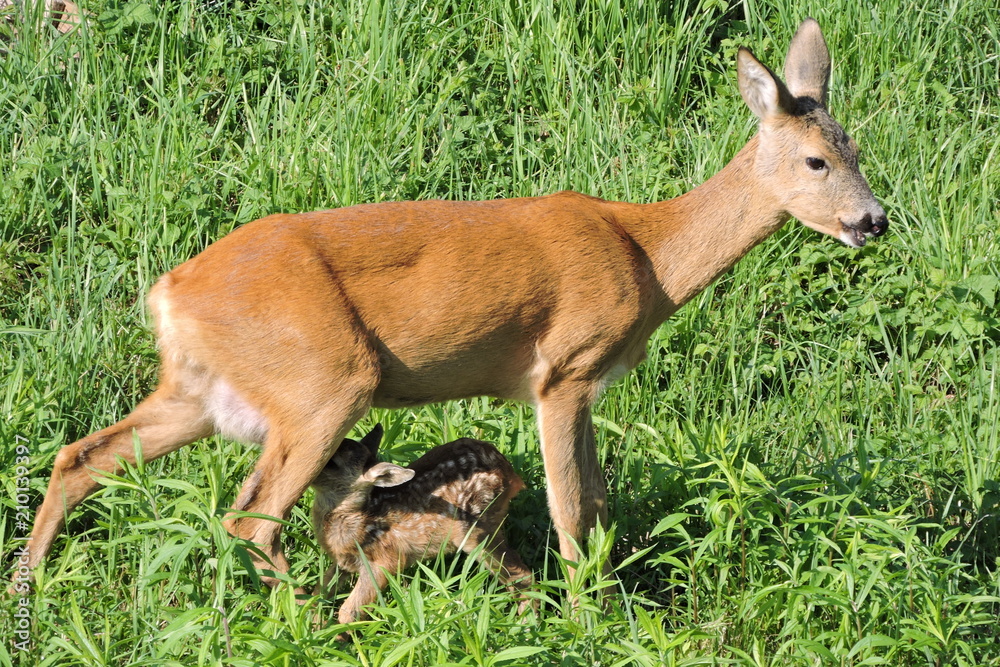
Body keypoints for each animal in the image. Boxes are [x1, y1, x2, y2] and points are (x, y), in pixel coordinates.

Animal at [21, 19, 886, 595]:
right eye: (816, 160)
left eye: (856, 149)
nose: (873, 220)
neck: (648, 255)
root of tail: (167, 292)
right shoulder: (564, 368)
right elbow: (573, 510)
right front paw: (589, 613)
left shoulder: (592, 381)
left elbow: (601, 500)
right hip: (323, 379)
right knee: (249, 514)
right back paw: (304, 612)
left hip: (203, 389)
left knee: (83, 455)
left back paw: (26, 580)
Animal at [310, 424, 533, 630]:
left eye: (331, 462)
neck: (359, 516)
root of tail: (509, 473)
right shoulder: (343, 562)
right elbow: (318, 593)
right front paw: (314, 626)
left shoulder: (384, 560)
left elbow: (348, 612)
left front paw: (341, 639)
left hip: (475, 529)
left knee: (522, 574)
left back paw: (527, 624)